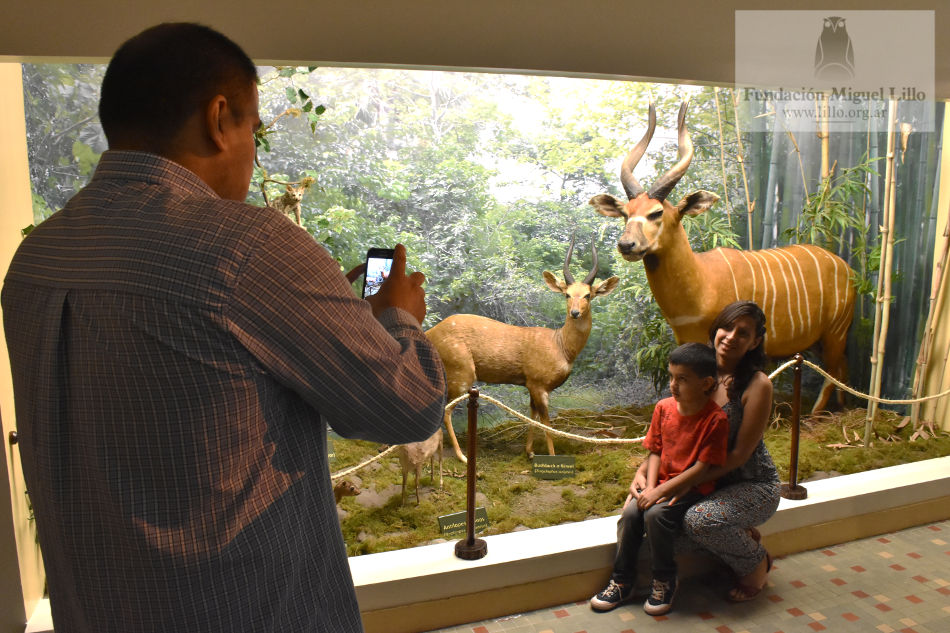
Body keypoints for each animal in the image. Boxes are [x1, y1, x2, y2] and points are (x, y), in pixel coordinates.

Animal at [428, 237, 620, 460]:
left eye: (588, 295)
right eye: (567, 294)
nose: (574, 313)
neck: (561, 347)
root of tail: (430, 333)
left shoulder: (530, 383)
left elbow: (532, 414)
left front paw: (530, 452)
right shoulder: (538, 382)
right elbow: (546, 422)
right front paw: (551, 456)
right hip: (462, 370)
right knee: (446, 409)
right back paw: (462, 455)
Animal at [596, 102, 856, 412]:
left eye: (657, 212)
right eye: (625, 213)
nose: (626, 245)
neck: (701, 281)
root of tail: (847, 268)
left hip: (836, 331)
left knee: (833, 371)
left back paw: (817, 413)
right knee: (842, 368)